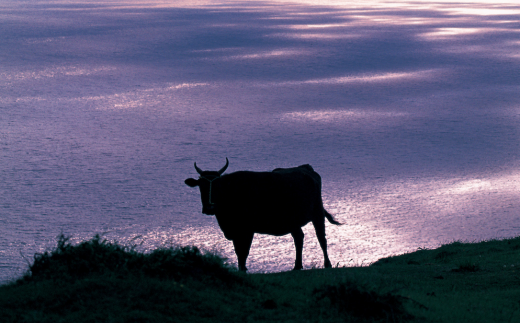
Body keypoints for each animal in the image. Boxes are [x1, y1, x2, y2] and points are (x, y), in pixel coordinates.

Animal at [184, 158, 342, 272]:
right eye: (201, 186)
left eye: (218, 185)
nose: (209, 208)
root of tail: (305, 168)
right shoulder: (235, 231)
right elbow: (238, 251)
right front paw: (241, 268)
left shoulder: (247, 229)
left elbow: (244, 251)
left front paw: (243, 269)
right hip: (293, 221)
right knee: (299, 238)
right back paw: (297, 266)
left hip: (317, 213)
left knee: (321, 238)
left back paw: (327, 264)